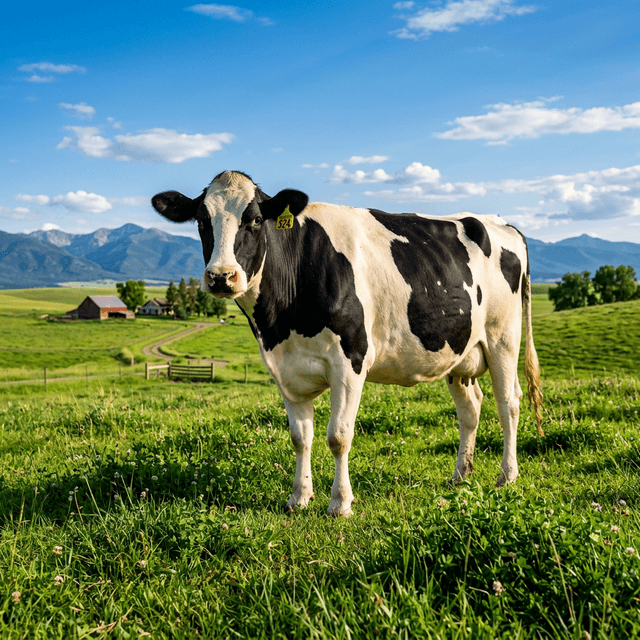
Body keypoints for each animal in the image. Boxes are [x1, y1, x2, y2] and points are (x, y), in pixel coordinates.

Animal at [152, 170, 543, 517]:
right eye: (202, 221)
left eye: (256, 219)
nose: (221, 276)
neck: (281, 321)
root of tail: (501, 223)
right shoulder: (285, 368)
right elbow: (300, 437)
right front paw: (299, 498)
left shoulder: (350, 359)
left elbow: (338, 436)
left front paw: (340, 504)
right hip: (460, 351)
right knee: (471, 408)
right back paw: (460, 475)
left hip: (503, 338)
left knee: (509, 403)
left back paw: (507, 476)